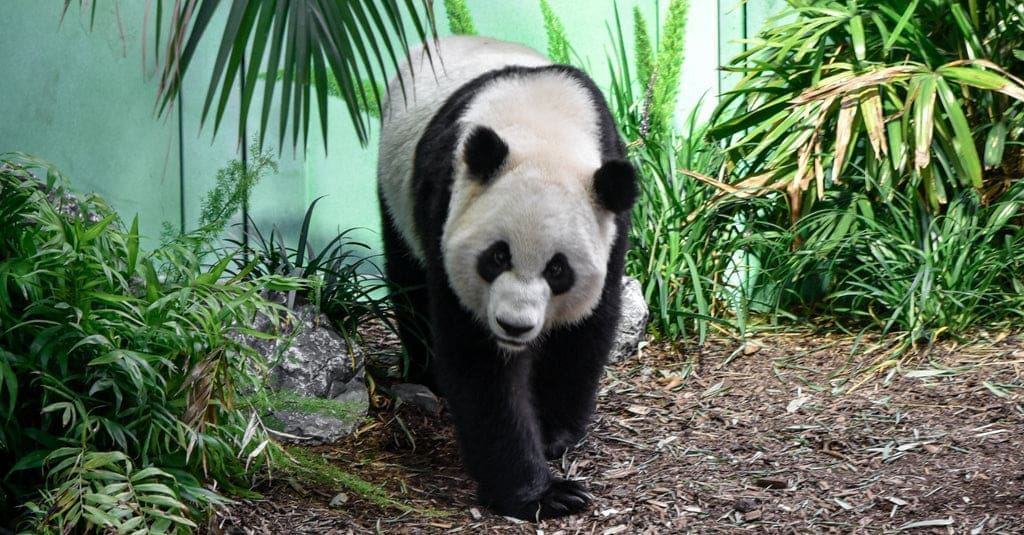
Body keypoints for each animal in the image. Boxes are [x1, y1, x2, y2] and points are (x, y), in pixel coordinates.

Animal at [376, 35, 638, 521]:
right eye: (497, 256)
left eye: (558, 269)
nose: (514, 326)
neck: (544, 130)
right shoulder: (446, 202)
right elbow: (479, 362)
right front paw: (544, 494)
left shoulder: (611, 223)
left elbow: (585, 329)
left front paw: (554, 433)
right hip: (393, 189)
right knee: (409, 279)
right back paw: (425, 373)